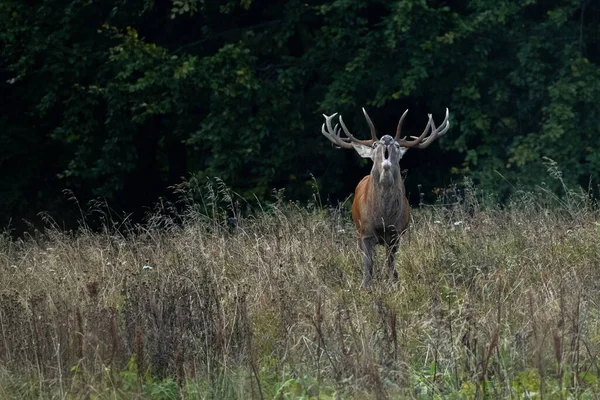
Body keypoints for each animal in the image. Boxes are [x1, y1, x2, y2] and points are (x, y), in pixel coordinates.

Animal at [322, 106, 448, 288]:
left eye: (397, 145)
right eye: (375, 145)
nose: (387, 139)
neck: (384, 218)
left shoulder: (396, 234)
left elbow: (391, 264)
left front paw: (393, 284)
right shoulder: (365, 232)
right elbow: (368, 265)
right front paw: (366, 286)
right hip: (358, 231)